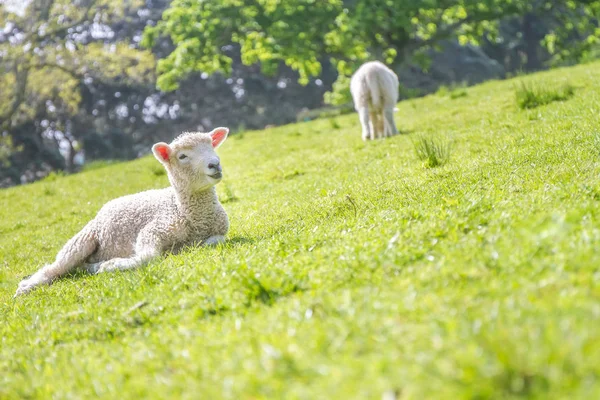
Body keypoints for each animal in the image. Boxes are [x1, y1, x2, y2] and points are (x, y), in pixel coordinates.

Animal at [14, 126, 230, 296]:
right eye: (182, 156)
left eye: (211, 146)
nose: (215, 164)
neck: (183, 211)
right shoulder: (154, 229)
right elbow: (148, 256)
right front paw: (112, 265)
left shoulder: (218, 231)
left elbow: (216, 241)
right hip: (84, 238)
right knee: (56, 268)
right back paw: (28, 286)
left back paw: (91, 266)